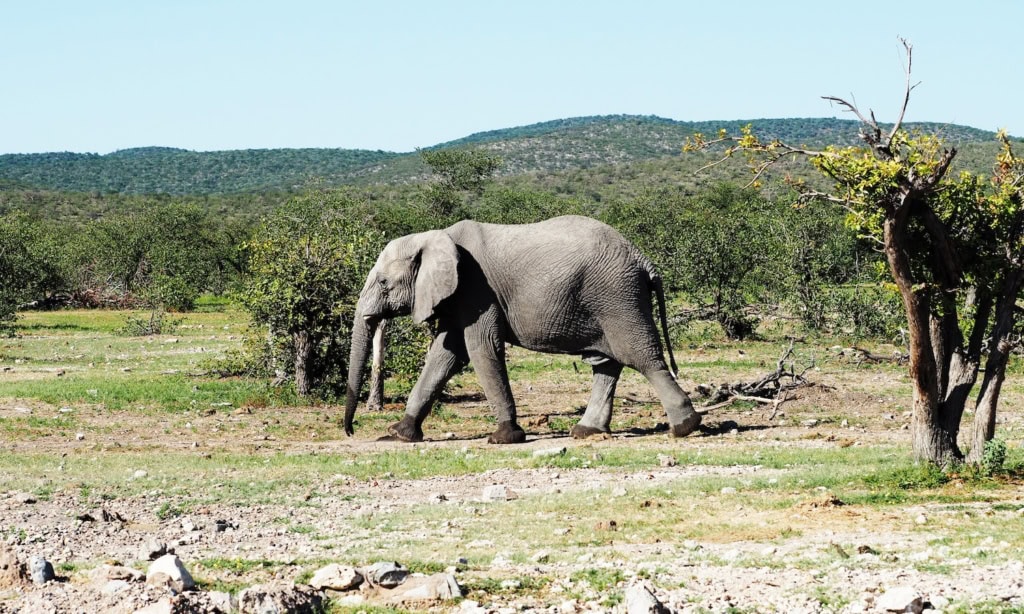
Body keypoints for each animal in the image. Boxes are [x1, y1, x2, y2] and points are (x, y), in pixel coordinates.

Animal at [344, 215, 702, 443]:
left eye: (384, 283)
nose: (350, 430)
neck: (434, 236)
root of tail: (644, 260)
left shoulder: (476, 288)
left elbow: (480, 349)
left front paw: (504, 438)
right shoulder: (458, 295)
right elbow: (445, 356)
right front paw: (399, 434)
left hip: (617, 296)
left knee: (641, 357)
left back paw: (685, 427)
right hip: (609, 299)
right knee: (606, 363)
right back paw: (586, 432)